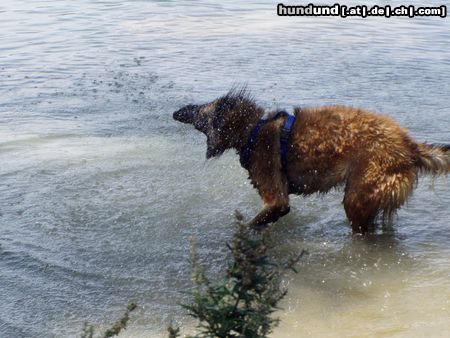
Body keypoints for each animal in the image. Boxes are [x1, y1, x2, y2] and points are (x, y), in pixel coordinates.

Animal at [173, 88, 450, 234]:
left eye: (199, 110)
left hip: (358, 198)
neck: (254, 130)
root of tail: (410, 147)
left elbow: (251, 224)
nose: (177, 111)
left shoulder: (277, 201)